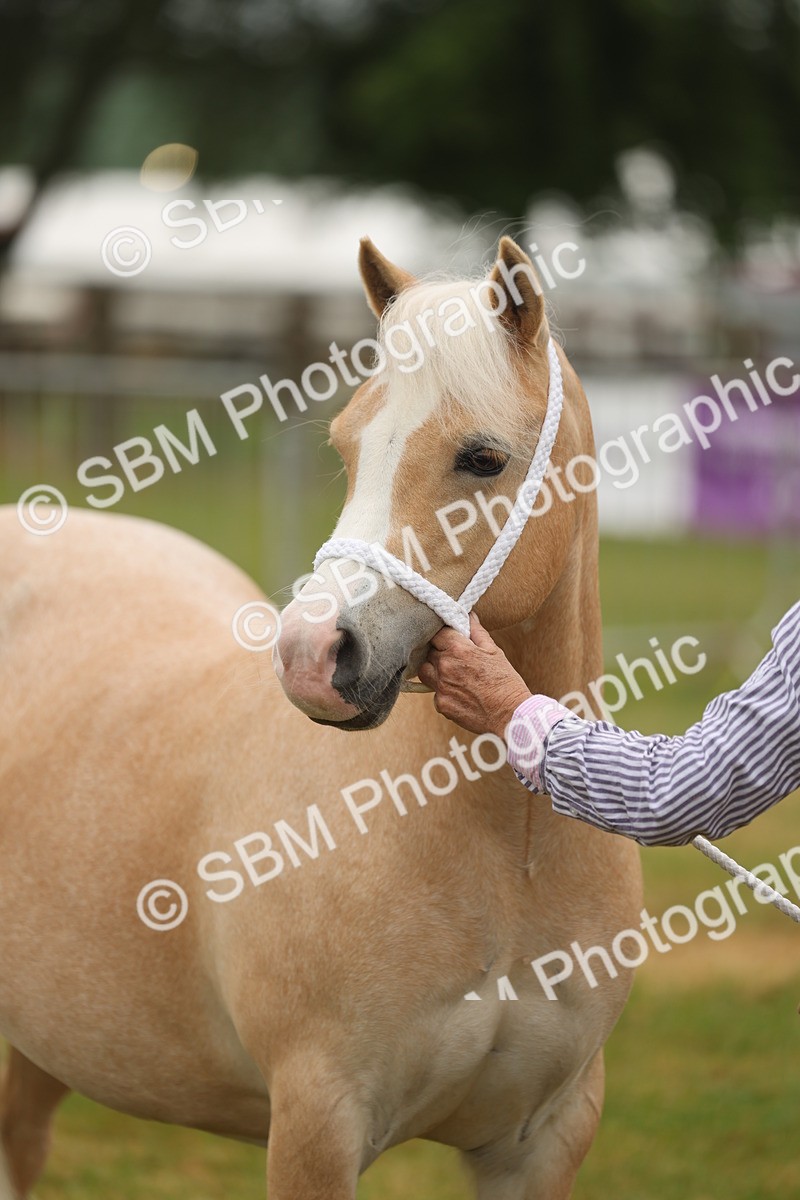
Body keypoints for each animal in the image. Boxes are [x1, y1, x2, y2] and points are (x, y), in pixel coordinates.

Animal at [0, 235, 641, 1199]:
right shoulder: (317, 1122)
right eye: (346, 448)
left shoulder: (543, 1138)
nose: (311, 655)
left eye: (483, 457)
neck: (512, 856)